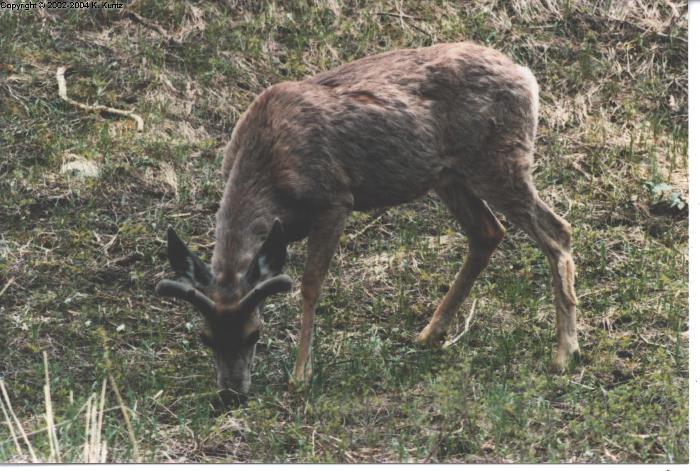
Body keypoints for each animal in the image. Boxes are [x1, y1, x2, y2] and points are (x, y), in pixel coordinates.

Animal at [157, 41, 580, 402]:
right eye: (206, 338)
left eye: (253, 333)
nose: (231, 393)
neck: (267, 169)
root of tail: (526, 75)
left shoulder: (334, 199)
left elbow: (310, 285)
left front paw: (300, 375)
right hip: (448, 175)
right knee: (488, 232)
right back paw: (429, 333)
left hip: (499, 159)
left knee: (558, 230)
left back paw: (565, 352)